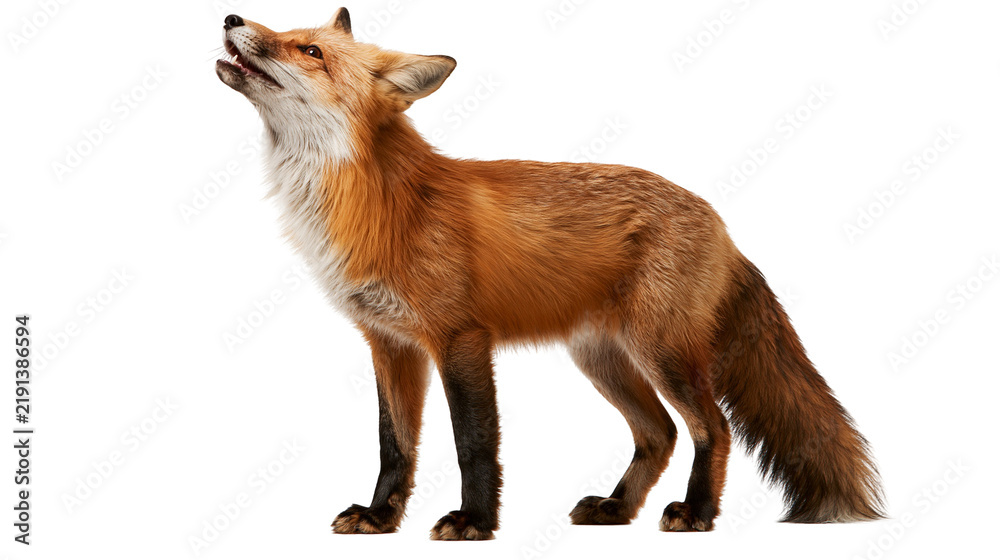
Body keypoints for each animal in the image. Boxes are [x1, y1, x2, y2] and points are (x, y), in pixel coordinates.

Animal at [215, 8, 885, 540]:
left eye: (310, 50)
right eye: (288, 34)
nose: (231, 18)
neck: (378, 204)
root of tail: (721, 224)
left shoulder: (459, 337)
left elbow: (474, 442)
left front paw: (475, 521)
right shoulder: (389, 342)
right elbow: (394, 445)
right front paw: (381, 518)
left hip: (662, 351)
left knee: (710, 428)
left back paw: (695, 513)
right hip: (602, 359)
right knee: (660, 434)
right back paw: (616, 509)